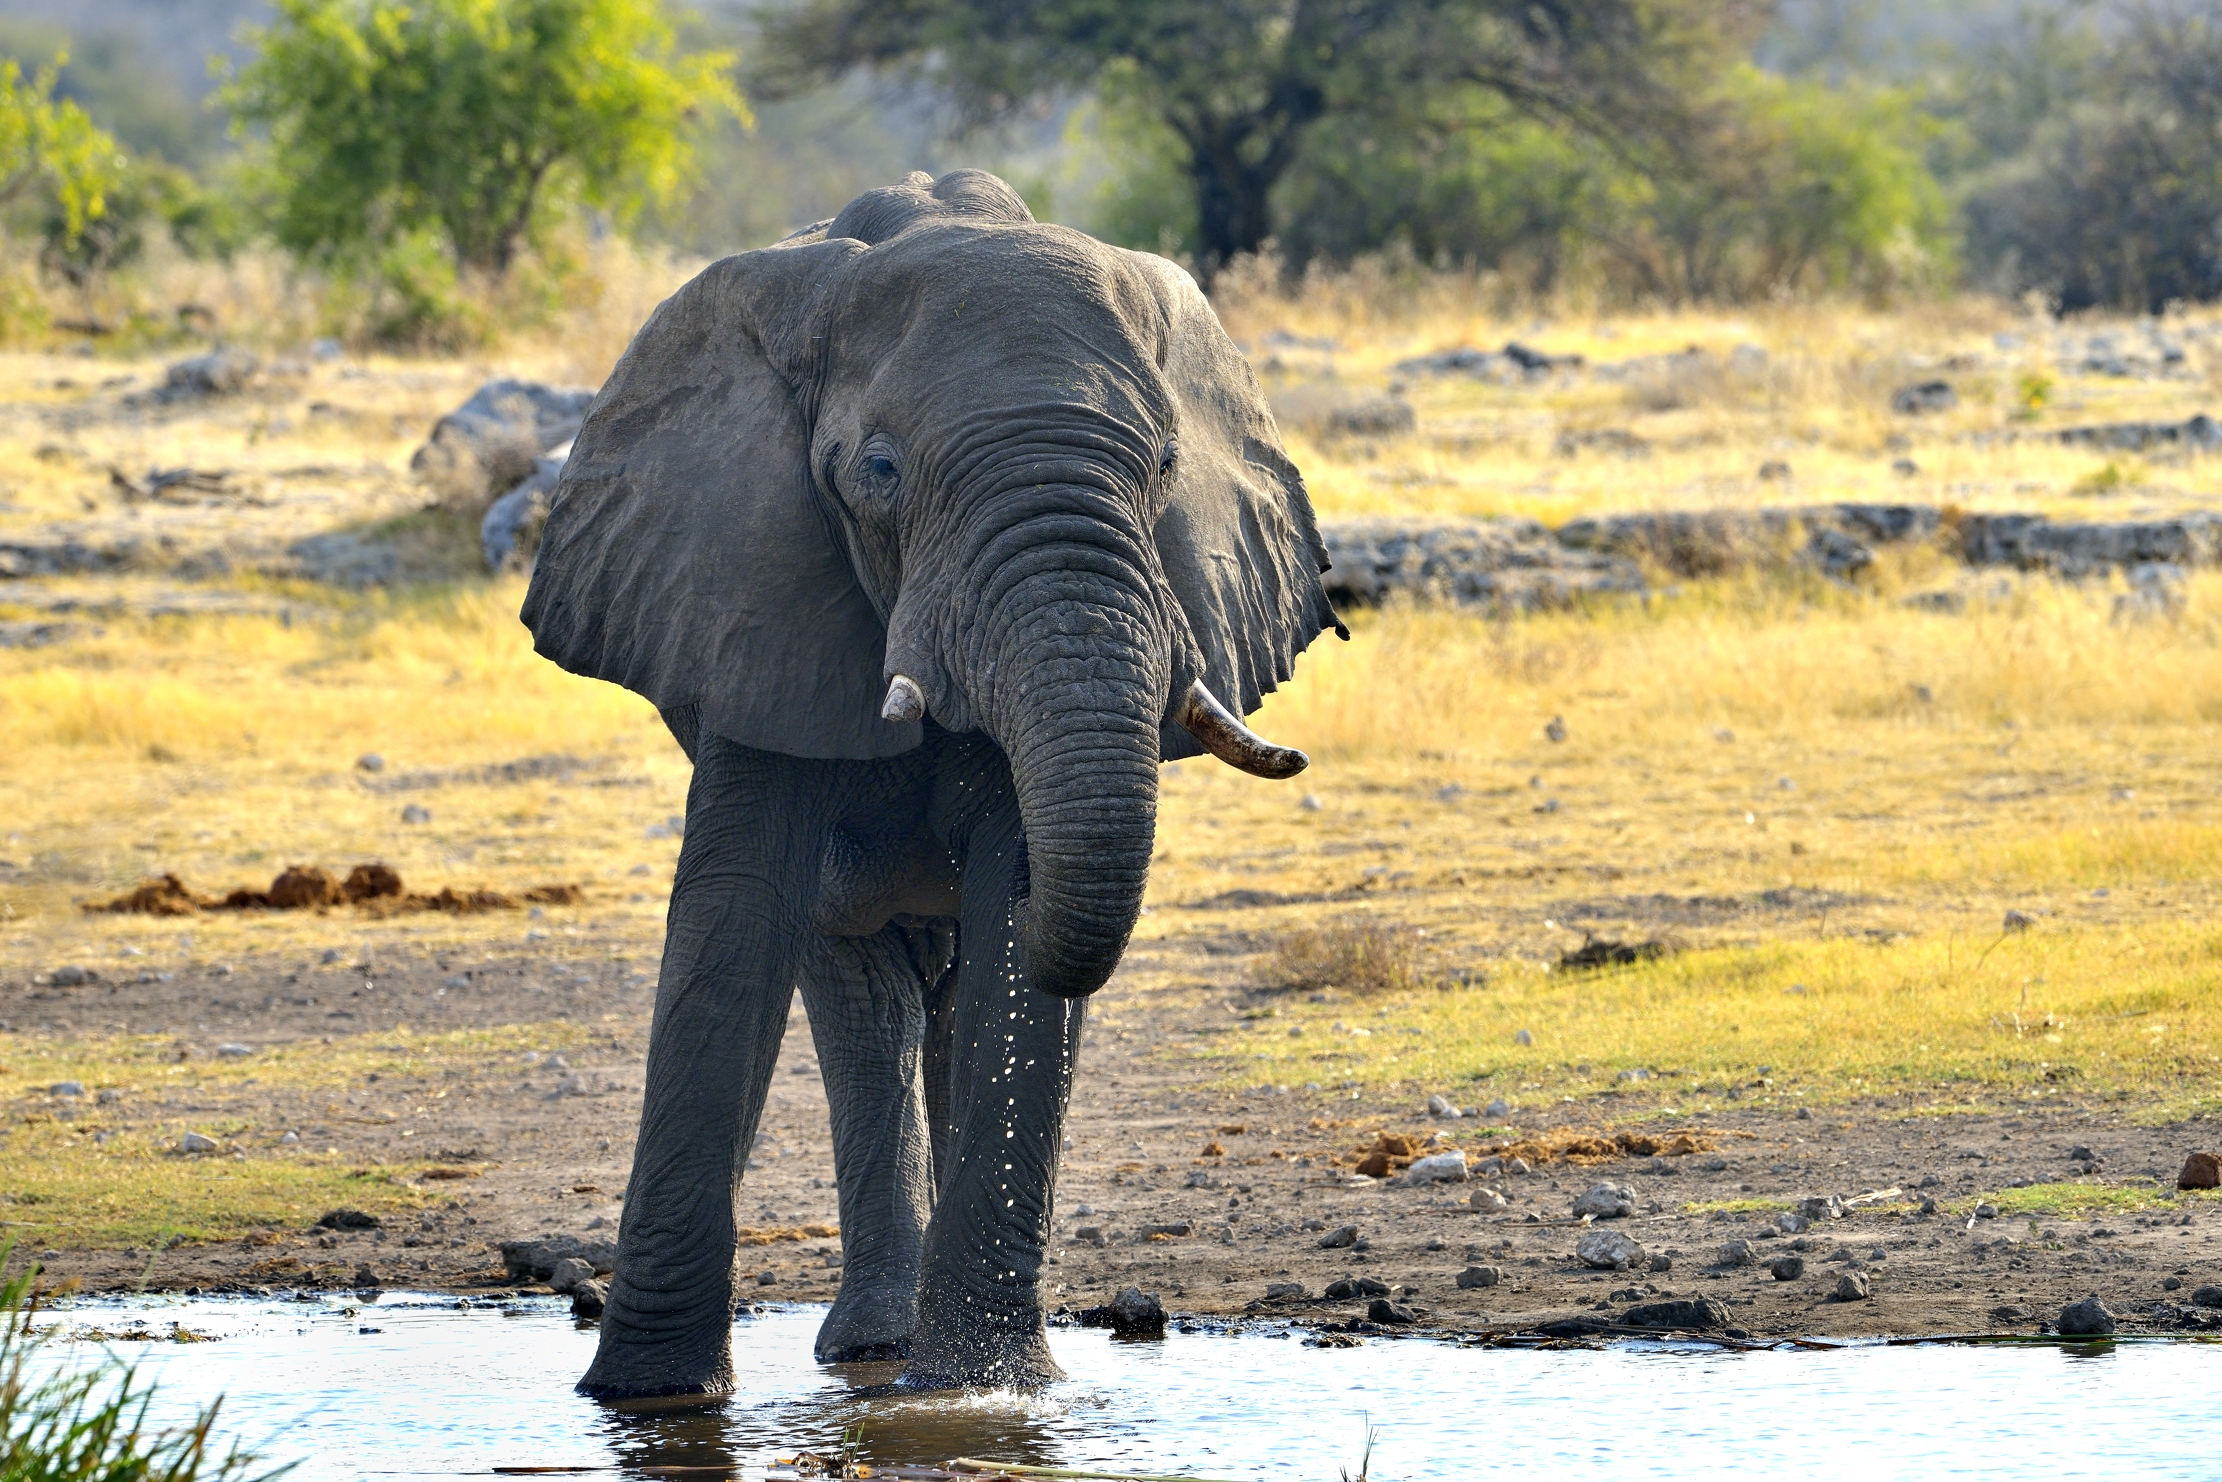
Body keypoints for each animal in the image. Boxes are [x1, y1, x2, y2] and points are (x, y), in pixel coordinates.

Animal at [520, 168, 1344, 1400]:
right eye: (879, 471)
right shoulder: (753, 590)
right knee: (862, 1003)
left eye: (1161, 466)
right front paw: (647, 1401)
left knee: (944, 1001)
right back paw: (871, 1347)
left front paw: (986, 1392)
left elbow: (1010, 924)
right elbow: (733, 920)